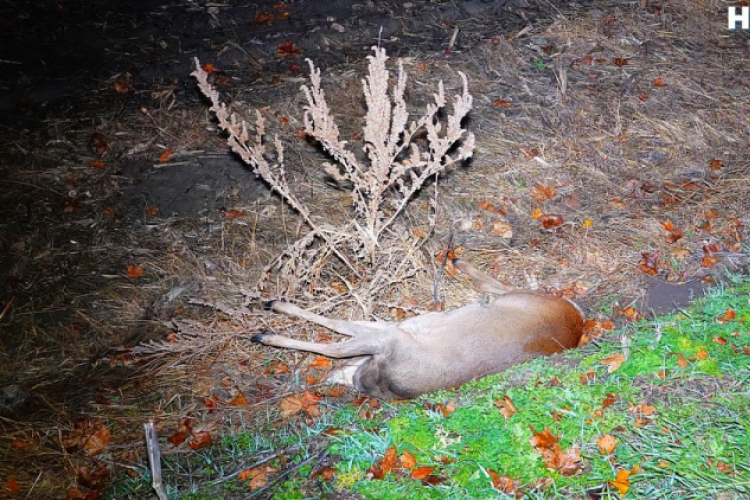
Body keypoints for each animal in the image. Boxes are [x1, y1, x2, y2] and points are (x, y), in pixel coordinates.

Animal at [254, 260, 588, 400]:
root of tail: (578, 319)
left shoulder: (394, 334)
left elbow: (335, 330)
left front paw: (271, 318)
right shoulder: (399, 326)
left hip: (523, 298)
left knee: (502, 285)